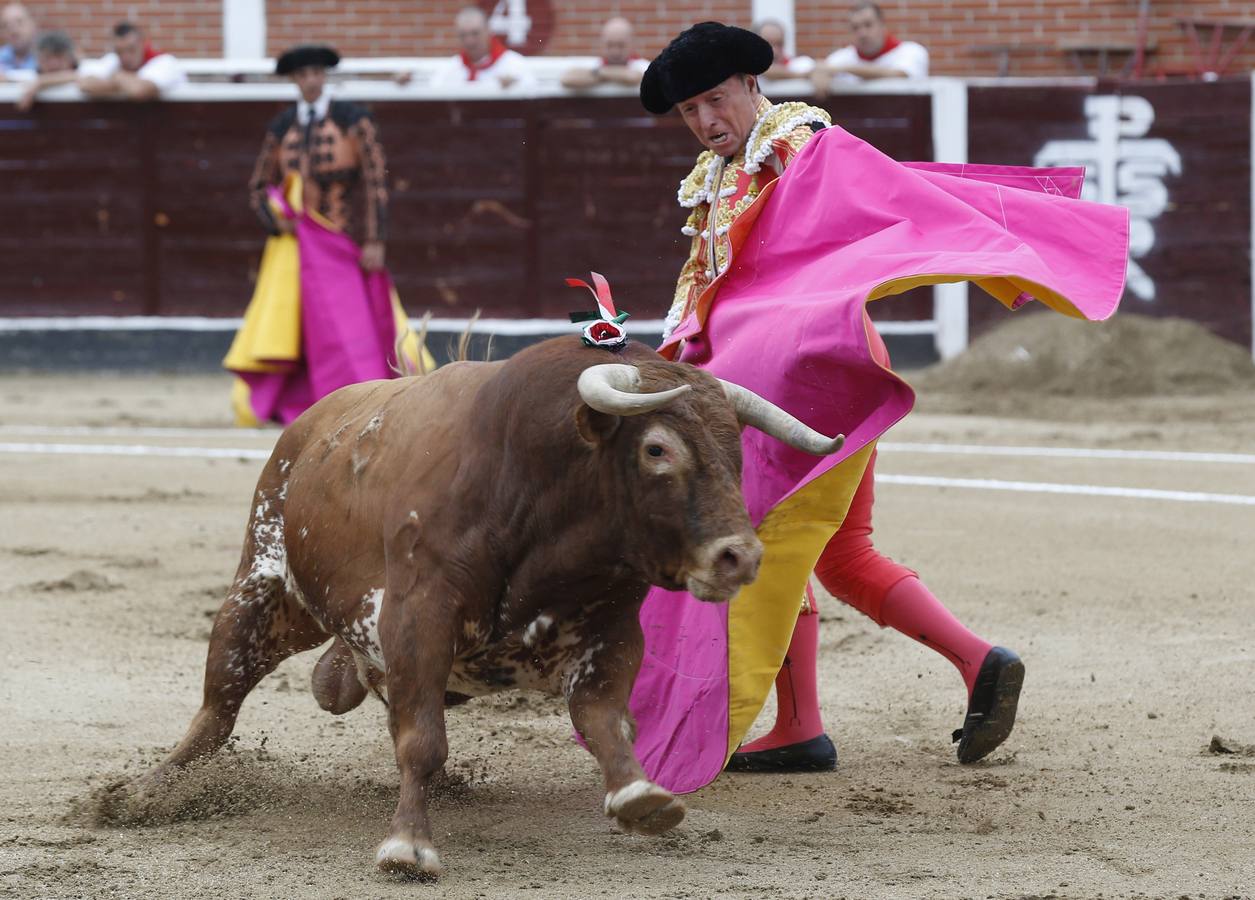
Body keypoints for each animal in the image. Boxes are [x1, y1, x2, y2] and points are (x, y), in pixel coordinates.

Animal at [139, 336, 843, 878]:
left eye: (736, 451)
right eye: (657, 449)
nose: (739, 557)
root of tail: (308, 427)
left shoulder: (613, 630)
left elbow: (604, 721)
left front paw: (641, 796)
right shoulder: (419, 617)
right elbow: (422, 740)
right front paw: (409, 847)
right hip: (261, 590)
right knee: (218, 708)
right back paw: (144, 793)